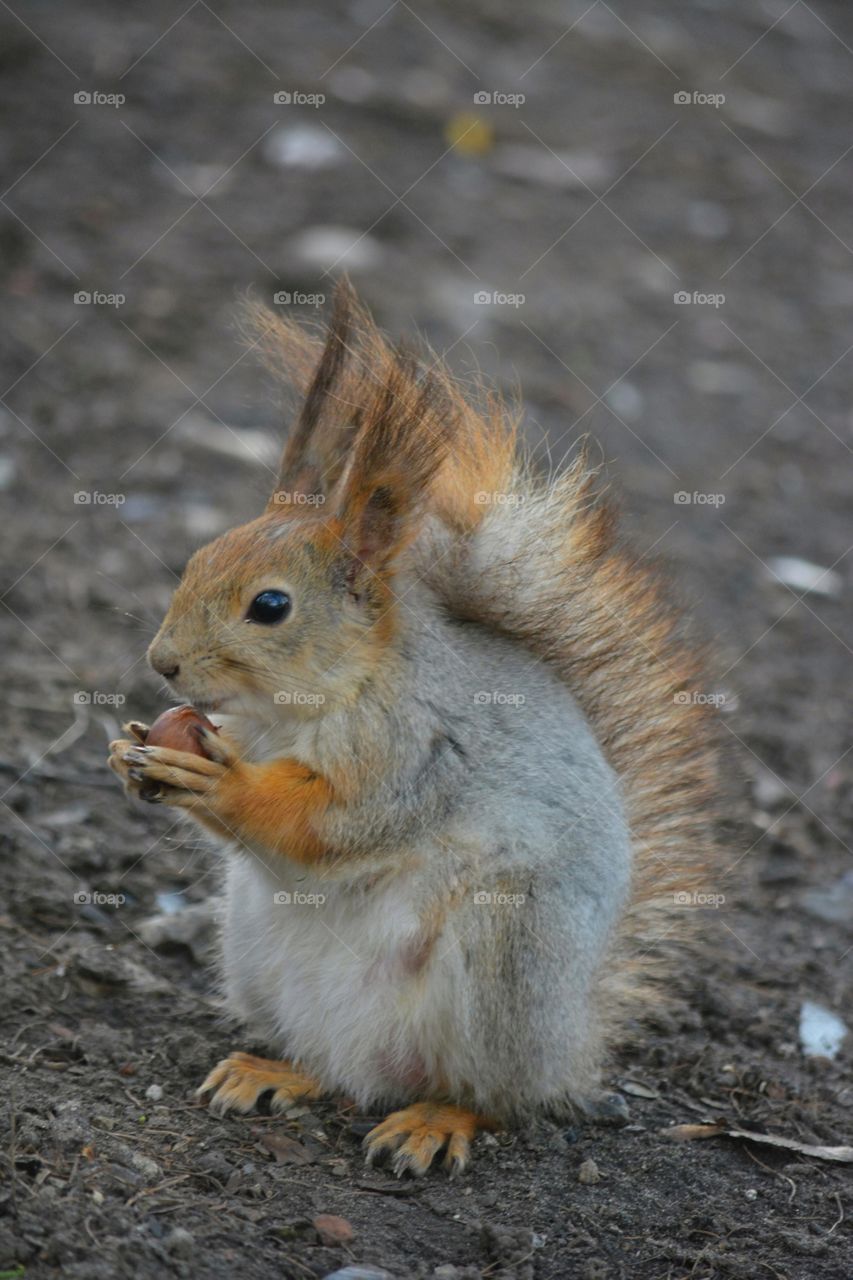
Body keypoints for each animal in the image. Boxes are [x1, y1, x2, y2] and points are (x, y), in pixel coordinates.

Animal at [108, 281, 720, 1177]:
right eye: (197, 559)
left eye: (270, 606)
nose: (163, 663)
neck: (302, 709)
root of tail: (572, 1044)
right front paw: (131, 754)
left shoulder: (418, 752)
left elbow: (331, 822)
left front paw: (216, 782)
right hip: (255, 950)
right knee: (342, 1072)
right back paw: (276, 1072)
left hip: (506, 952)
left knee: (490, 1095)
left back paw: (436, 1121)